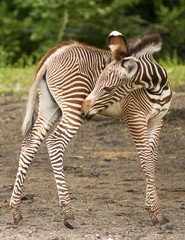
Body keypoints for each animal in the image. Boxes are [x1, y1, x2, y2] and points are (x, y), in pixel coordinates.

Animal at [81, 31, 173, 226]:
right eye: (96, 82)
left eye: (108, 88)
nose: (83, 110)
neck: (157, 88)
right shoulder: (135, 118)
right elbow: (146, 162)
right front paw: (157, 213)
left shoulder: (157, 120)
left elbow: (153, 162)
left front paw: (153, 211)